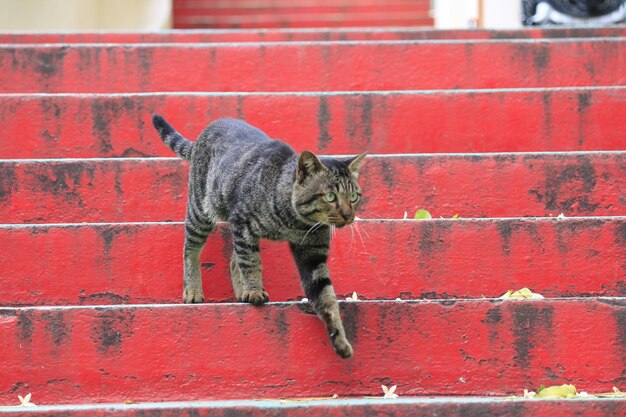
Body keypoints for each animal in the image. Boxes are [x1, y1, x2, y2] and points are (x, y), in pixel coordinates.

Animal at [152, 114, 366, 358]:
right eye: (330, 196)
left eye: (354, 196)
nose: (348, 216)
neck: (296, 223)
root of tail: (207, 131)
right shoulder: (242, 222)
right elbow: (251, 263)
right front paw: (254, 290)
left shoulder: (313, 254)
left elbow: (326, 297)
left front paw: (340, 340)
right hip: (202, 209)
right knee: (191, 249)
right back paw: (194, 289)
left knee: (233, 259)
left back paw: (239, 291)